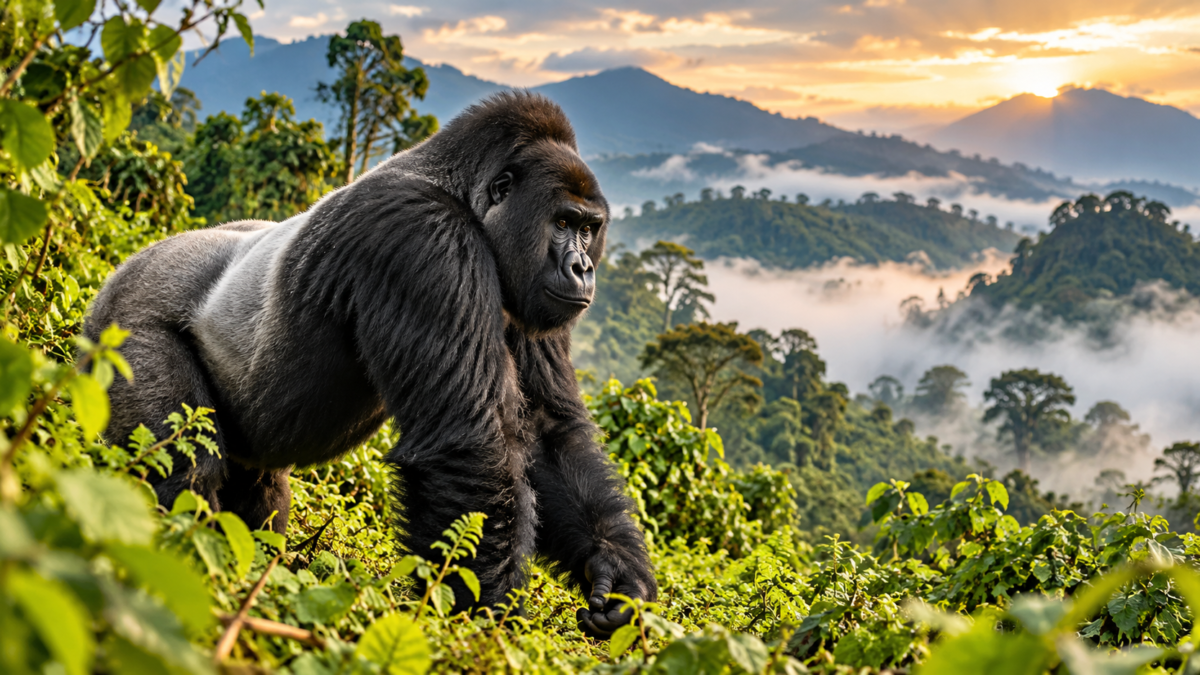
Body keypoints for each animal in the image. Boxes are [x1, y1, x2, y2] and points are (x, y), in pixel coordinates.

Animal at [84, 91, 656, 638]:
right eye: (562, 223)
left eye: (589, 228)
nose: (581, 268)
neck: (460, 189)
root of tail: (124, 269)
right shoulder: (425, 237)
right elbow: (472, 441)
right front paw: (484, 625)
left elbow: (547, 431)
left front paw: (616, 573)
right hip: (122, 326)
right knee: (185, 462)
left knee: (261, 489)